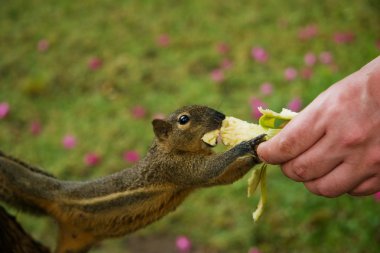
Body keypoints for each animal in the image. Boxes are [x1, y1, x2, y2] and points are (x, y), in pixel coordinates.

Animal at [0, 105, 266, 253]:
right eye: (184, 119)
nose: (221, 116)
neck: (166, 149)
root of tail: (59, 191)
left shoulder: (194, 179)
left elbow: (222, 177)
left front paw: (255, 156)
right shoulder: (176, 169)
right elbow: (210, 170)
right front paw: (246, 145)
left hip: (72, 244)